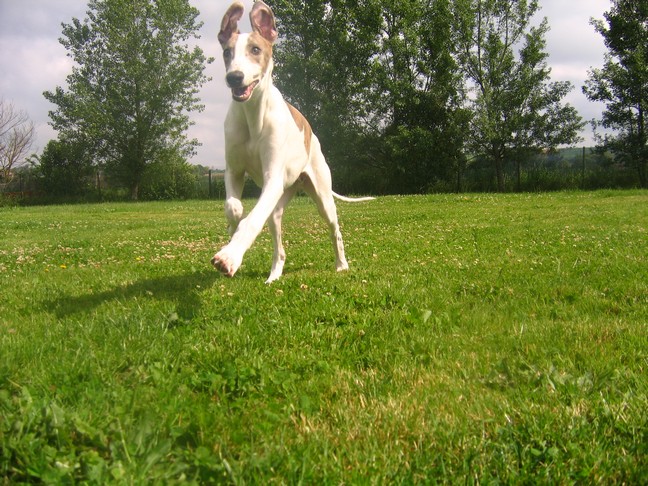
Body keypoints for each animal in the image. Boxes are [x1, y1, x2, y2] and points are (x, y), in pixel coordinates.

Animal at [212, 1, 373, 284]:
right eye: (227, 53)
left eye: (255, 49)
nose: (234, 77)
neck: (253, 115)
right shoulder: (234, 171)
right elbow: (233, 207)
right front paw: (233, 230)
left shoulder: (273, 177)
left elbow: (252, 220)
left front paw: (230, 256)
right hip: (279, 201)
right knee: (276, 234)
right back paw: (274, 273)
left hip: (321, 195)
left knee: (335, 229)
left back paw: (341, 264)